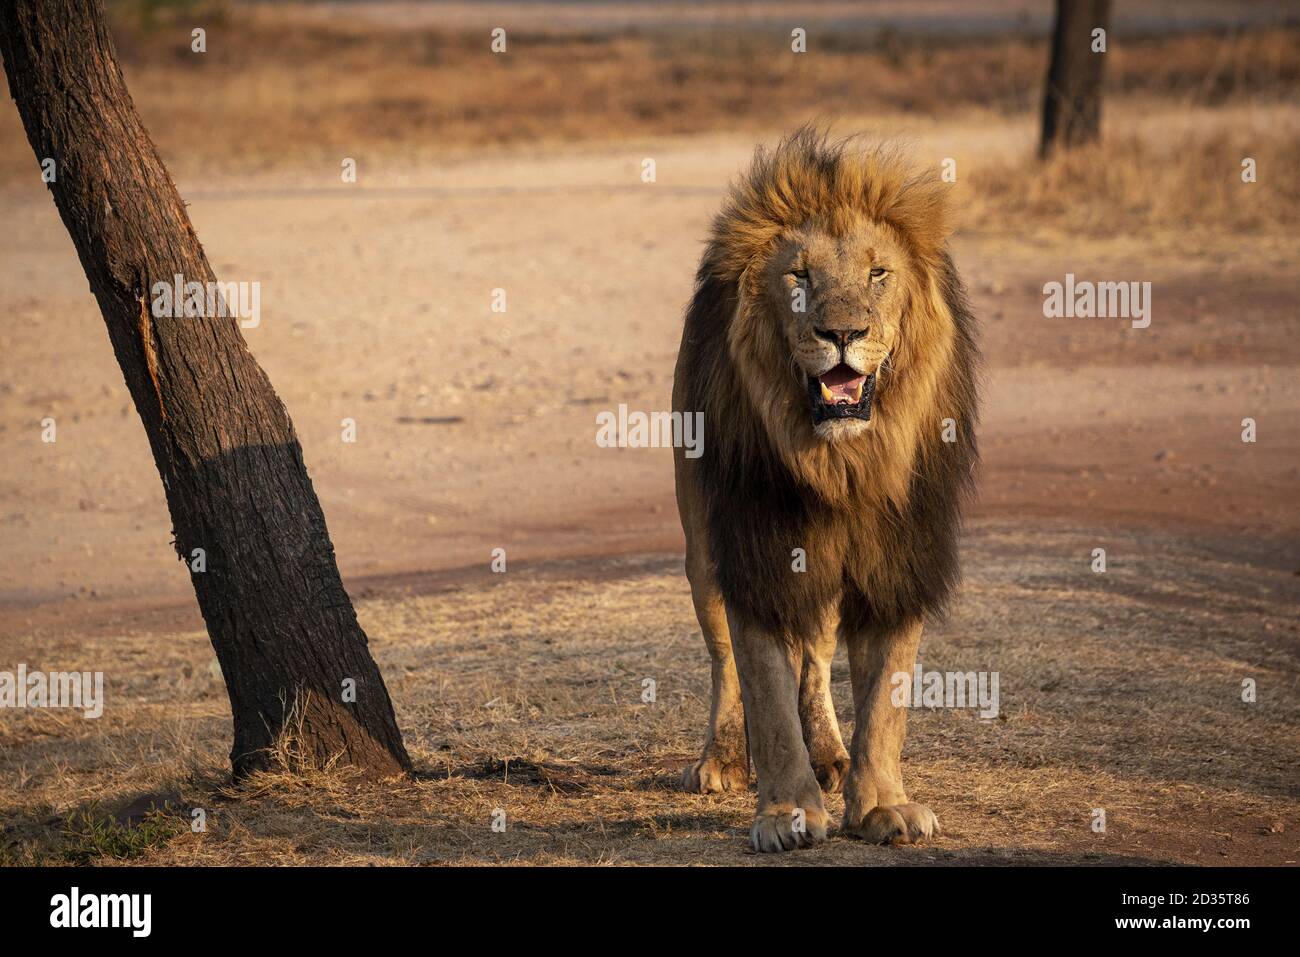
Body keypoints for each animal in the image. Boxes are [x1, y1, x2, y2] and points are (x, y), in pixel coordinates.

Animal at [672, 128, 979, 852]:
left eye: (877, 274)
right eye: (799, 276)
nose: (842, 333)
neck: (842, 465)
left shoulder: (897, 559)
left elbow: (886, 701)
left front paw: (881, 805)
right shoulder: (755, 550)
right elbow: (765, 689)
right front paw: (785, 813)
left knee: (814, 653)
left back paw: (832, 756)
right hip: (701, 549)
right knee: (724, 657)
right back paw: (721, 760)